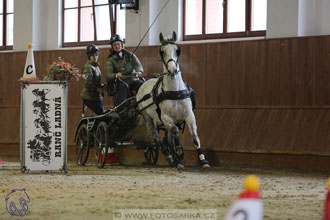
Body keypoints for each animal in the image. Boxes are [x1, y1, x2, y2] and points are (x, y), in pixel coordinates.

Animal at [136, 31, 209, 169]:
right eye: (162, 51)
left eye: (177, 50)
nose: (172, 70)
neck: (175, 91)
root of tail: (142, 85)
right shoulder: (166, 117)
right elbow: (175, 131)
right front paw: (179, 152)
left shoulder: (189, 115)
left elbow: (195, 137)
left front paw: (203, 160)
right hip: (148, 118)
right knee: (157, 137)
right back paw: (170, 156)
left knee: (169, 135)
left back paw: (175, 159)